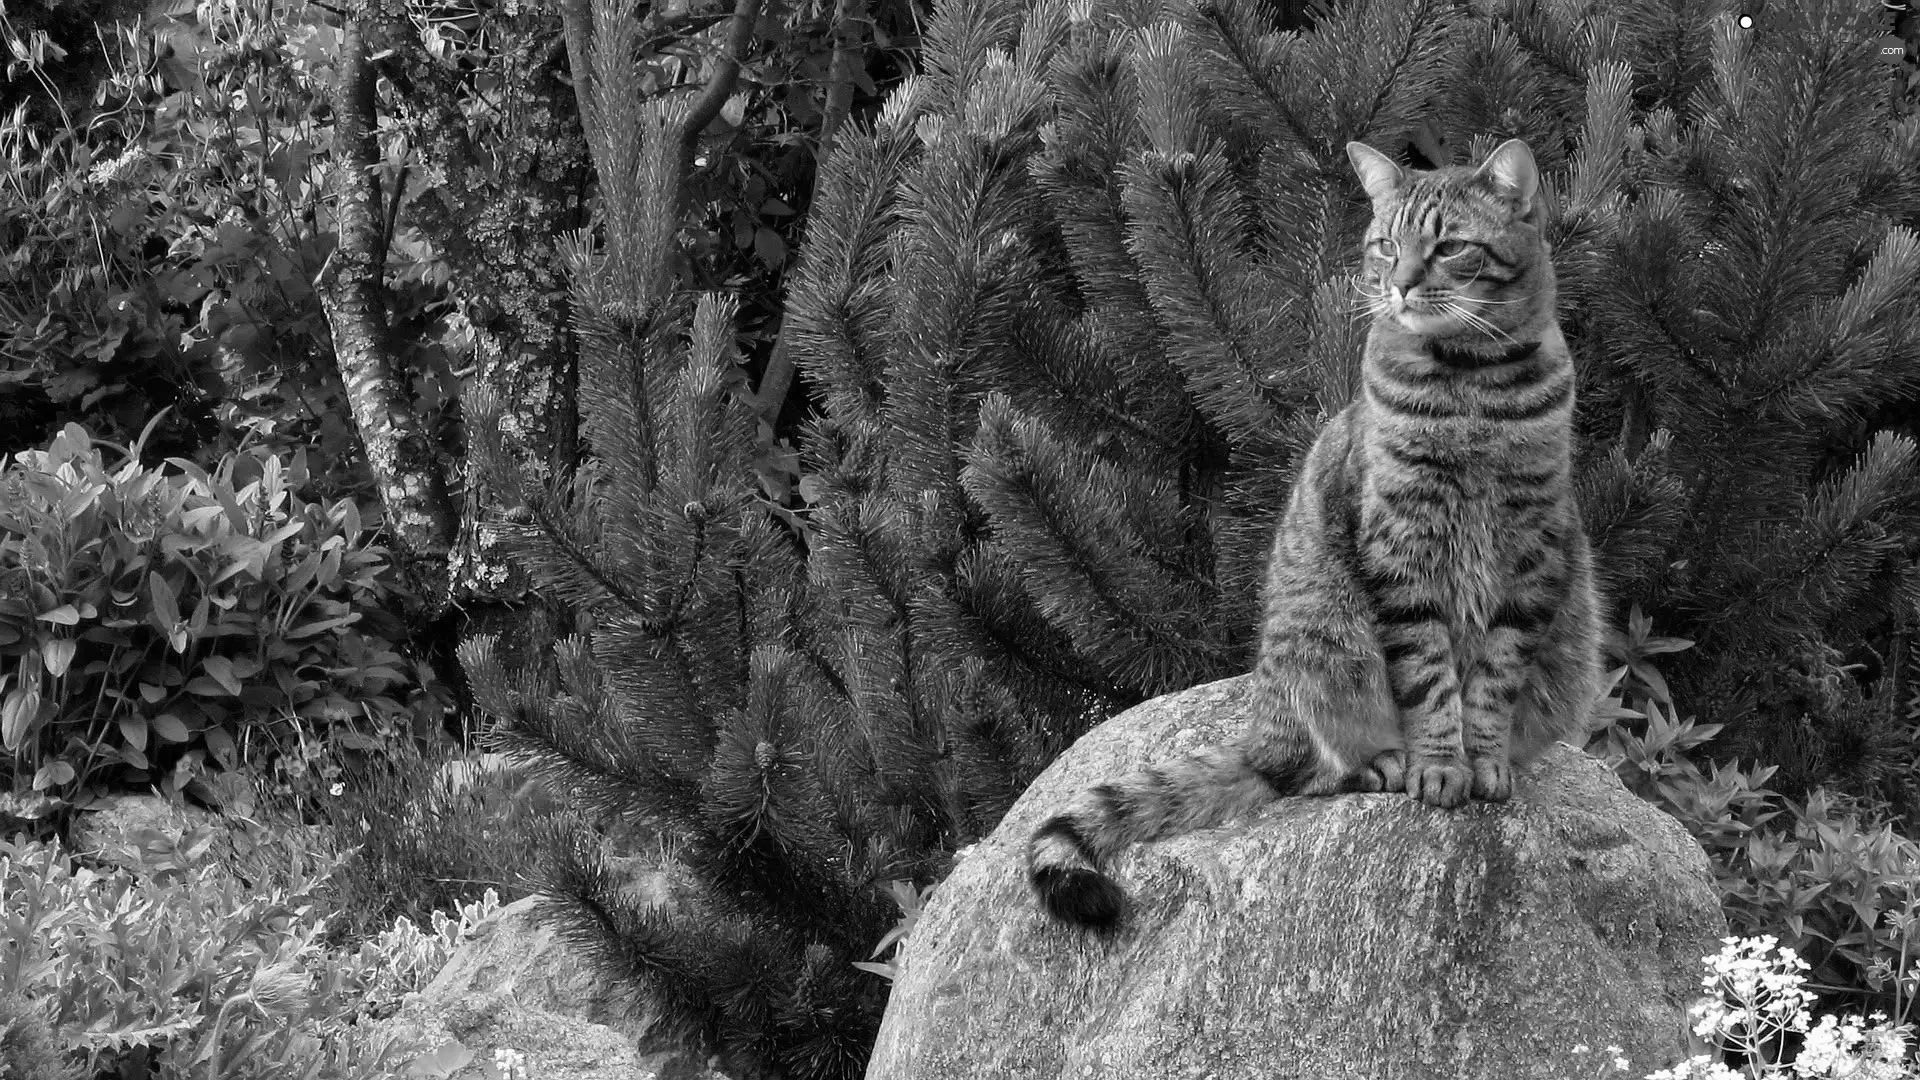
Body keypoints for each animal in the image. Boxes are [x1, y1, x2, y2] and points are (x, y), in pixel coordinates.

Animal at [1036, 134, 1605, 926]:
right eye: (1386, 244)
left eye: (1452, 247)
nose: (1400, 285)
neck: (1472, 386)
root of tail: (1259, 735)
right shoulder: (1400, 548)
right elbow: (1428, 678)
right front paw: (1439, 765)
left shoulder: (1534, 554)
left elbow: (1493, 677)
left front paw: (1484, 761)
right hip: (1327, 642)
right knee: (1313, 767)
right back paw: (1383, 761)